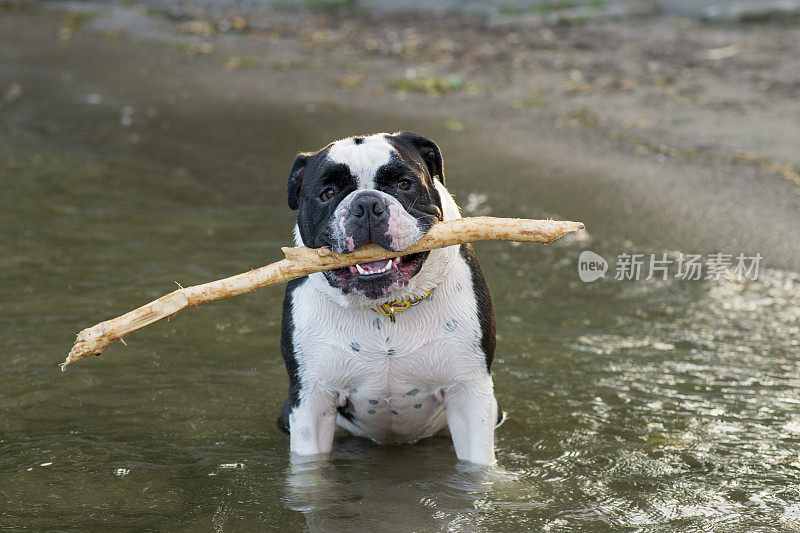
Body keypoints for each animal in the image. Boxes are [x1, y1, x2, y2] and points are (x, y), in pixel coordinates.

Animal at [276, 131, 500, 464]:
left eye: (404, 184)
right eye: (327, 193)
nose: (367, 204)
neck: (387, 307)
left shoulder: (469, 392)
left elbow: (477, 466)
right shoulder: (310, 399)